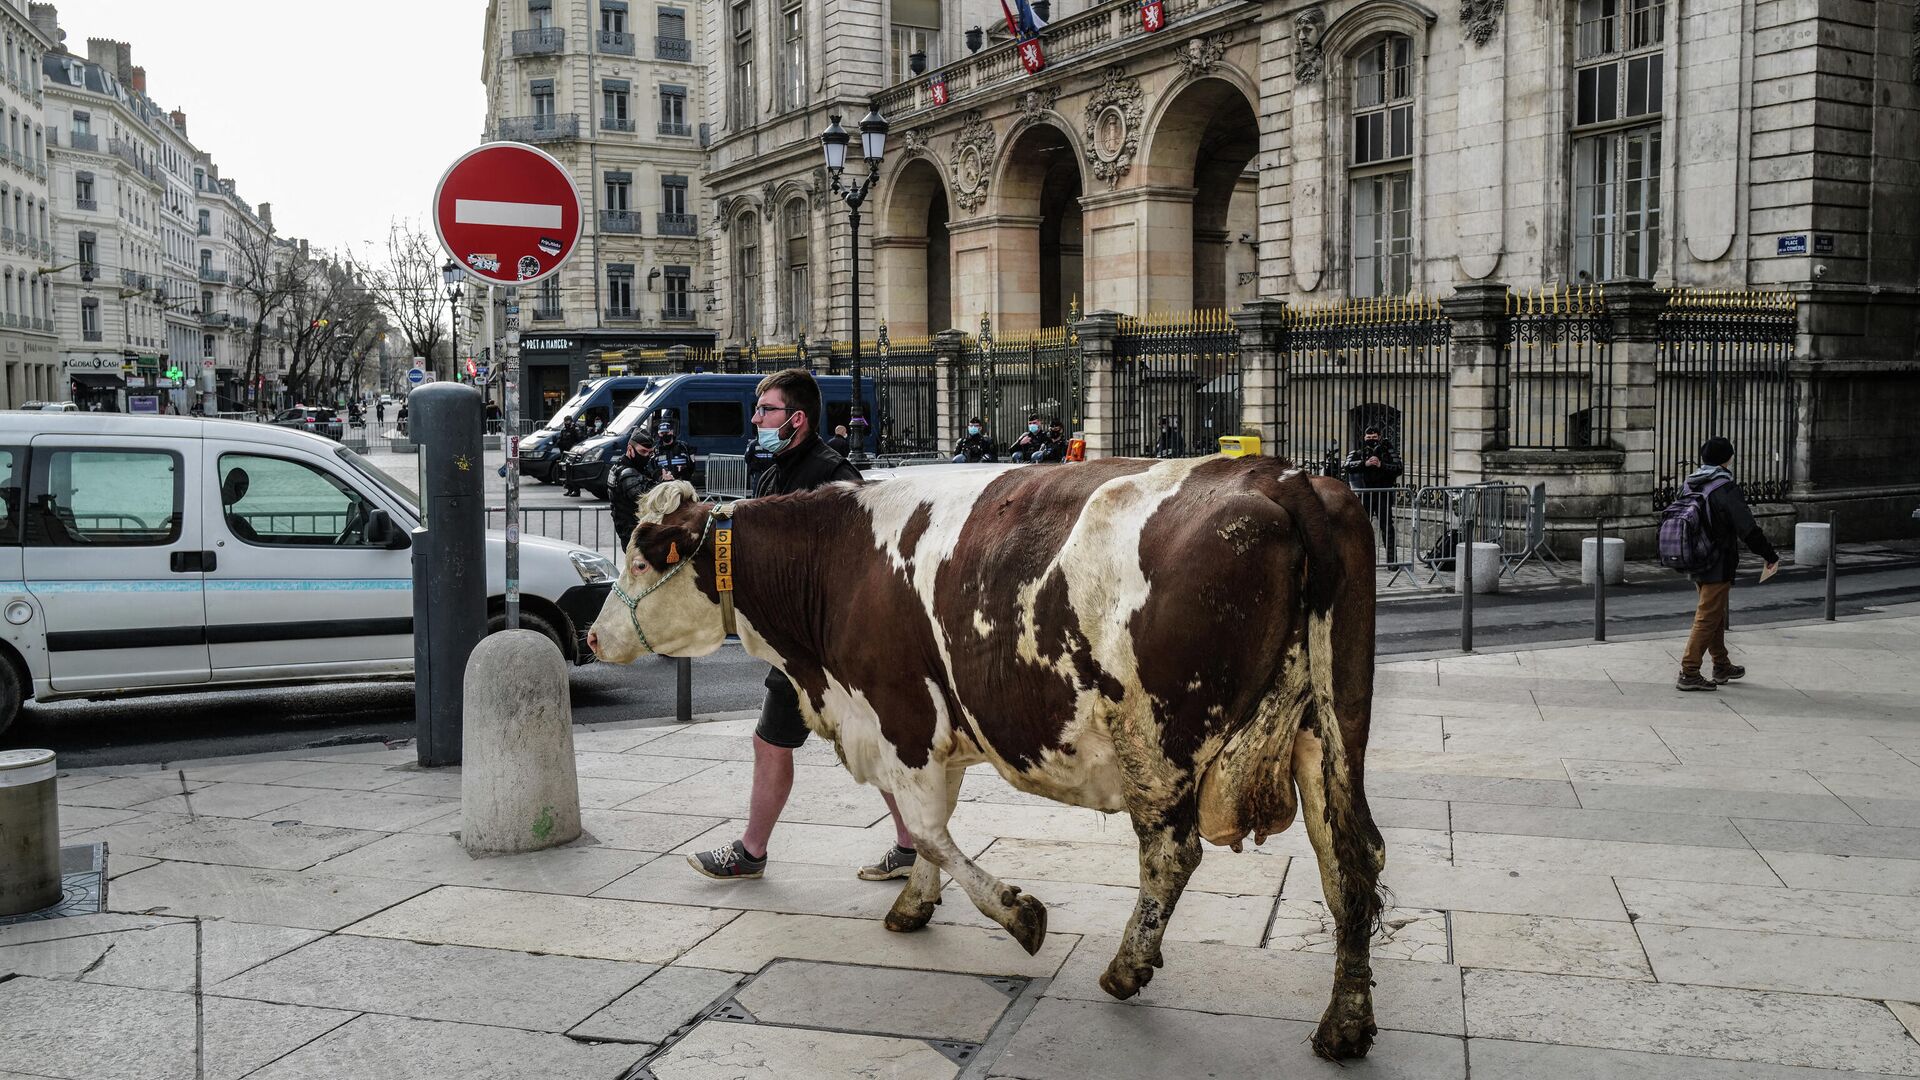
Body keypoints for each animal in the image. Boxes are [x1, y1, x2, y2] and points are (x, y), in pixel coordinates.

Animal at [587, 455, 1397, 1060]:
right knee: (1350, 856)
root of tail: (1285, 479)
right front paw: (914, 903)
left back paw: (1126, 968)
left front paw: (1018, 914)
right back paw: (1345, 1023)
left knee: (1172, 854)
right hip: (1332, 728)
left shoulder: (903, 715)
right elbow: (927, 835)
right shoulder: (921, 732)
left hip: (1158, 737)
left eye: (639, 558)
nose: (593, 637)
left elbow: (931, 830)